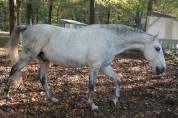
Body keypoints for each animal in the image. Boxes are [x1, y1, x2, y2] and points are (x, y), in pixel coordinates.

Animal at [3, 24, 165, 110]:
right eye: (157, 48)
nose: (162, 69)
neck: (109, 39)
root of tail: (28, 27)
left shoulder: (104, 67)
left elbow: (118, 80)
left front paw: (114, 101)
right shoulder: (95, 67)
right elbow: (92, 85)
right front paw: (92, 105)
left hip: (44, 60)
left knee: (42, 78)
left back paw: (52, 99)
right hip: (27, 57)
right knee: (13, 70)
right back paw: (7, 95)